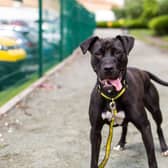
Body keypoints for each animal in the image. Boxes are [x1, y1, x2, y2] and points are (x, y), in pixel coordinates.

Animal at [79, 34, 168, 167]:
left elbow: (151, 156)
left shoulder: (144, 126)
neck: (112, 96)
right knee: (125, 126)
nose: (108, 68)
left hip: (155, 110)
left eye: (118, 52)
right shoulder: (95, 130)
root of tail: (143, 72)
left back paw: (164, 148)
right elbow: (94, 158)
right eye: (98, 53)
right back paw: (121, 143)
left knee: (159, 128)